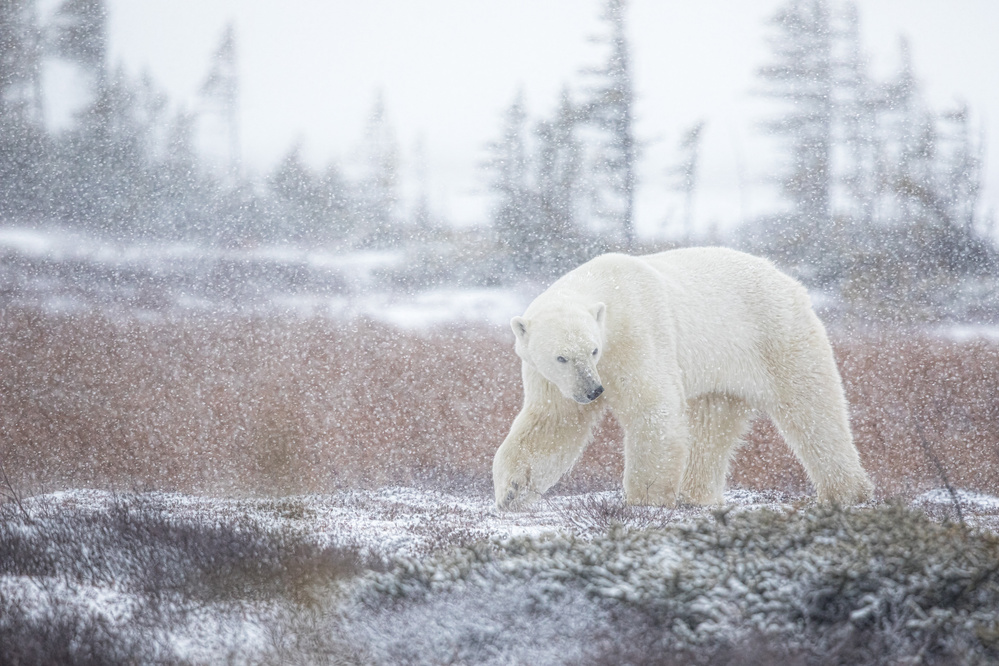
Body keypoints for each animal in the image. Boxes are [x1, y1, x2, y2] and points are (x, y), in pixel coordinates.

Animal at [496, 246, 872, 510]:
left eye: (593, 350)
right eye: (561, 357)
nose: (593, 391)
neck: (606, 288)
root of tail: (789, 280)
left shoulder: (638, 333)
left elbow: (652, 407)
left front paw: (646, 497)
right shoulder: (551, 378)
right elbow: (553, 422)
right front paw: (511, 491)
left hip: (777, 335)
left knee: (812, 407)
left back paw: (847, 492)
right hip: (722, 365)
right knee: (713, 424)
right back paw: (696, 493)